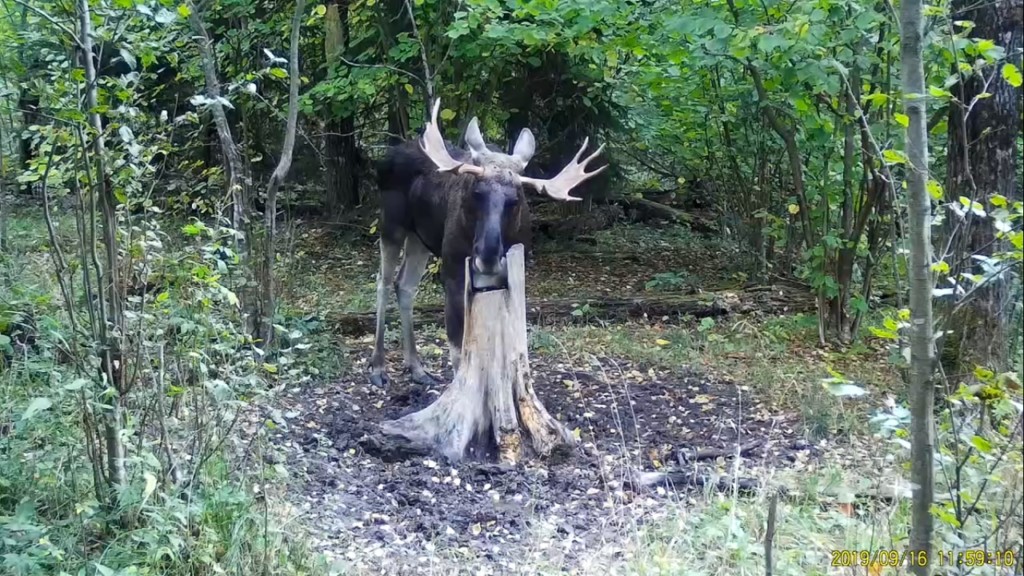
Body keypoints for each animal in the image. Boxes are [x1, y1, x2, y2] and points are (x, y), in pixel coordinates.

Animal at [370, 99, 602, 385]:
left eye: (515, 199)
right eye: (476, 192)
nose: (488, 257)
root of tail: (383, 160)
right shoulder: (453, 273)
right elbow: (458, 351)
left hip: (419, 238)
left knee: (405, 284)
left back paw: (417, 368)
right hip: (391, 224)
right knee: (383, 282)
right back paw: (378, 367)